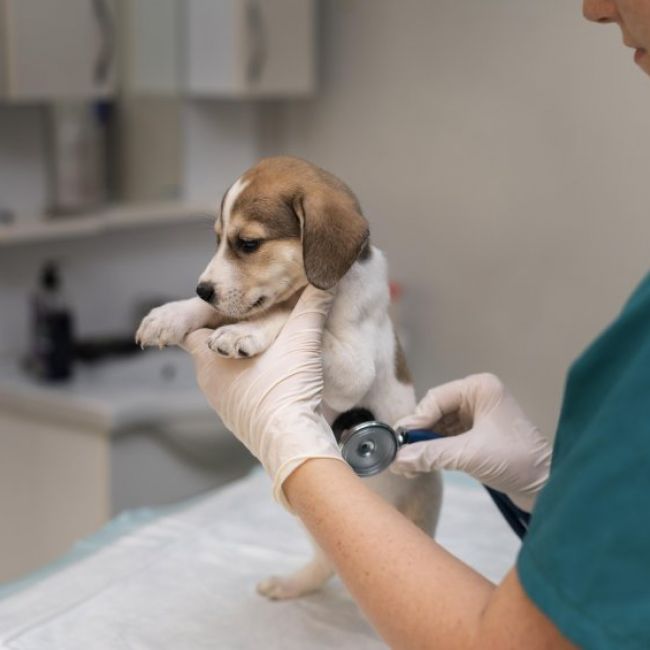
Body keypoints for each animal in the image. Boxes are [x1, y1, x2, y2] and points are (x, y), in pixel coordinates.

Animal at [136, 156, 440, 596]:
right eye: (217, 240)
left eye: (248, 243)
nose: (202, 288)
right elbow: (234, 310)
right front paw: (171, 315)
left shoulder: (354, 366)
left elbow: (283, 313)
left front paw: (244, 331)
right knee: (326, 562)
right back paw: (290, 585)